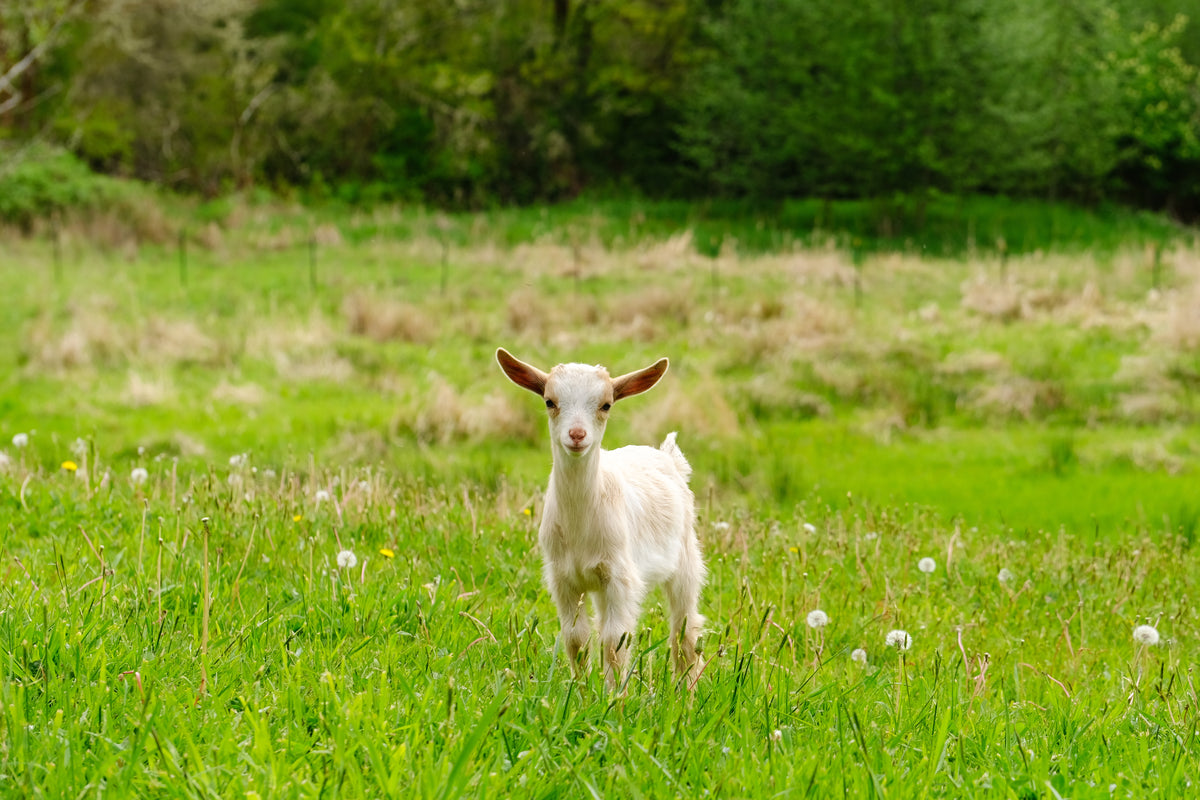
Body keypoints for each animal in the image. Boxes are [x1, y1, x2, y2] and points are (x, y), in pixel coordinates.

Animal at [496, 347, 706, 691]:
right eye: (549, 401)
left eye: (606, 404)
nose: (577, 435)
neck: (580, 523)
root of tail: (668, 457)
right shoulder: (564, 580)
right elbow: (576, 640)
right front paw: (582, 693)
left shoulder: (619, 577)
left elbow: (614, 641)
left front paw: (615, 698)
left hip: (686, 561)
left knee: (684, 631)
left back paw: (686, 693)